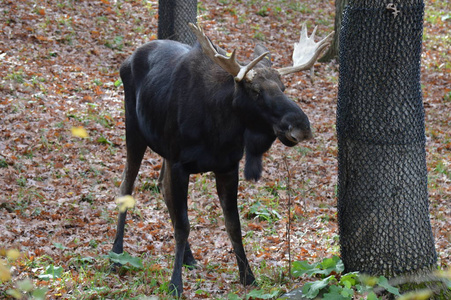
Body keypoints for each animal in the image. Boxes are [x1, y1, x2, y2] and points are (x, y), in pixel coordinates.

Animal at [111, 22, 334, 296]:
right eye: (256, 91)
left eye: (283, 88)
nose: (301, 125)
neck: (219, 131)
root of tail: (127, 60)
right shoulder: (180, 164)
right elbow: (183, 225)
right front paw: (175, 284)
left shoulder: (228, 166)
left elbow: (233, 225)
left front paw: (248, 276)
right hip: (134, 129)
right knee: (126, 186)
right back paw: (116, 254)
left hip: (163, 149)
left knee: (162, 186)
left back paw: (188, 257)